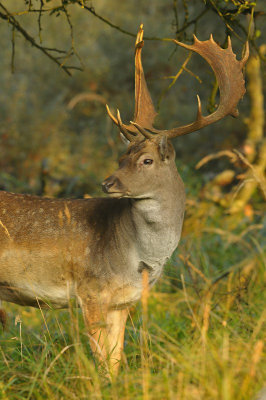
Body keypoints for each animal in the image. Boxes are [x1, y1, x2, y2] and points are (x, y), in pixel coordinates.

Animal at [0, 25, 249, 372]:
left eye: (146, 160)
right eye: (121, 157)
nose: (108, 183)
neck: (137, 257)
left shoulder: (123, 302)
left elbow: (116, 362)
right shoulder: (89, 291)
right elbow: (102, 364)